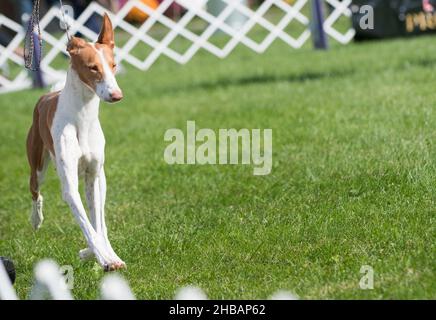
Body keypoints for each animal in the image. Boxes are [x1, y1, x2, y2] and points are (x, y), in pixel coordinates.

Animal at [26, 13, 126, 272]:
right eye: (93, 68)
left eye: (113, 65)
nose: (116, 95)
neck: (83, 116)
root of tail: (47, 95)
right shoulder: (70, 185)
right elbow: (88, 227)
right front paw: (103, 258)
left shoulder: (94, 177)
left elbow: (98, 225)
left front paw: (102, 254)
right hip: (38, 166)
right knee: (35, 191)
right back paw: (36, 219)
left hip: (102, 180)